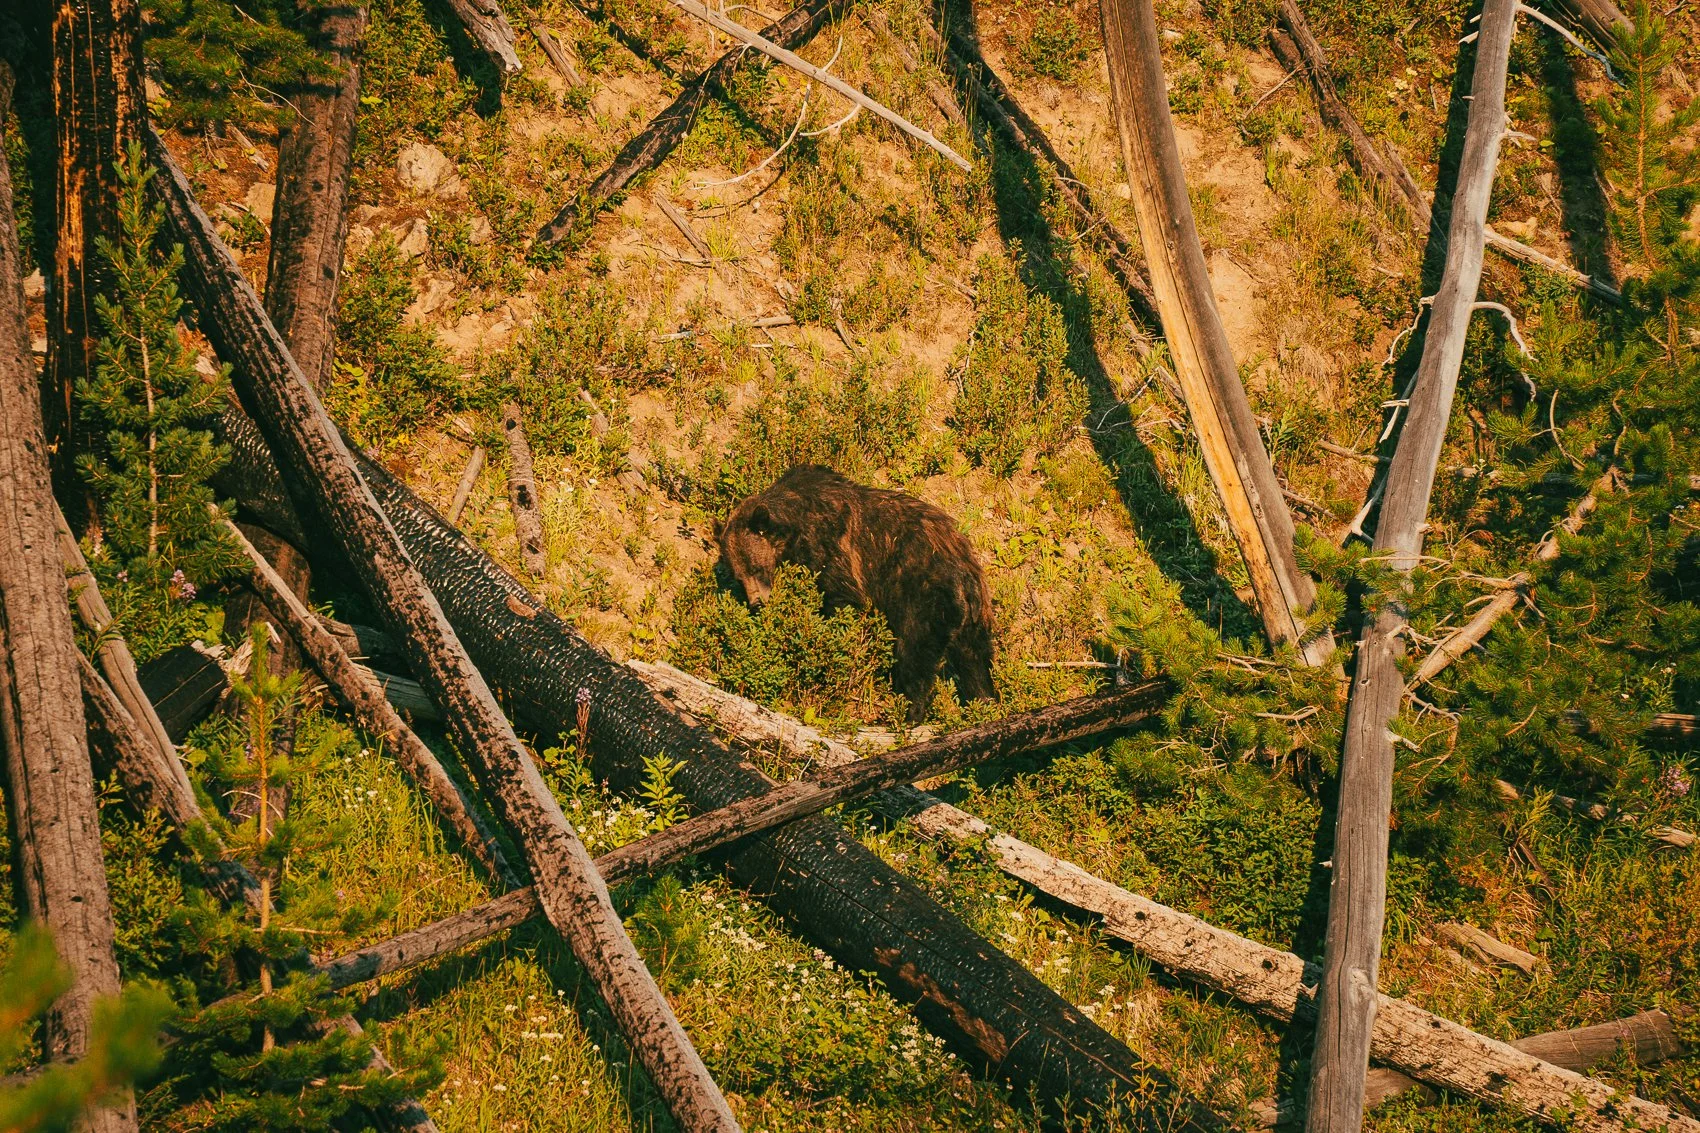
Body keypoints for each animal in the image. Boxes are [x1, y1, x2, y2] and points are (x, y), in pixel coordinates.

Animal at [719, 464, 996, 724]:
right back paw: (984, 702)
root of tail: (965, 571)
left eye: (757, 568)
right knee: (975, 660)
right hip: (971, 615)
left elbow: (840, 600)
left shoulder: (831, 550)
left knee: (915, 650)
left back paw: (908, 712)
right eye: (739, 576)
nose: (757, 603)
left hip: (924, 595)